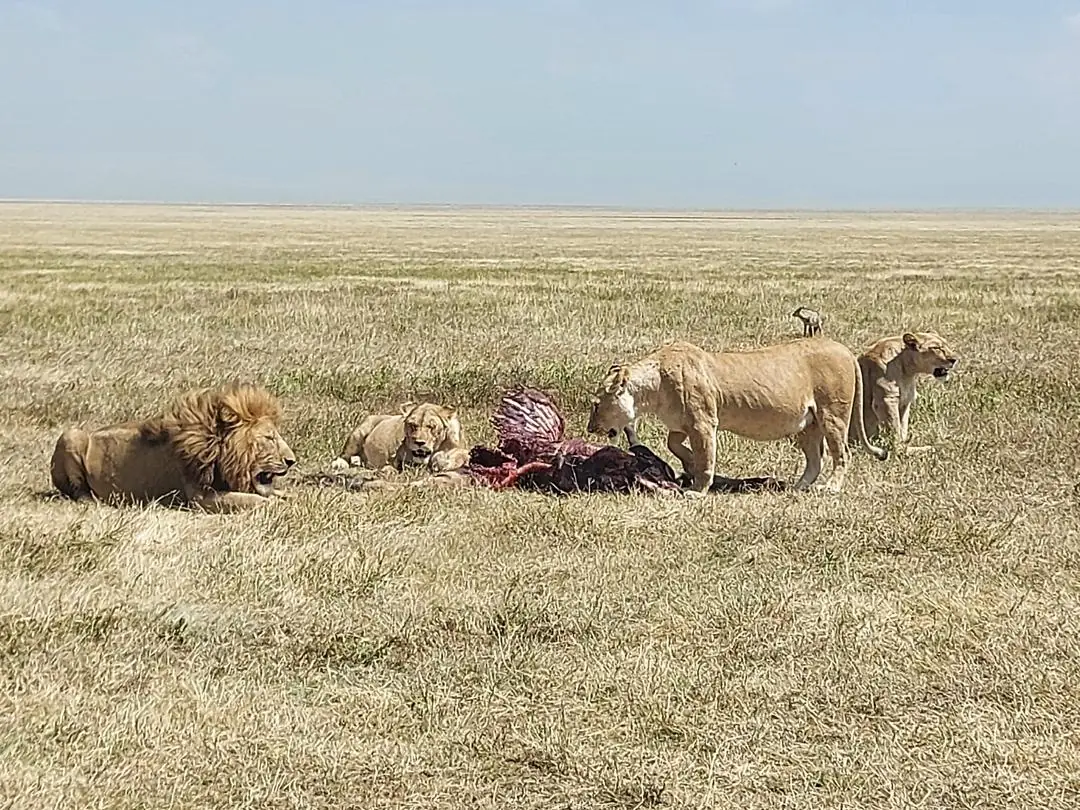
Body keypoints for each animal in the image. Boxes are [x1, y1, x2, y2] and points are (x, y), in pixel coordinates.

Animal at [50, 381, 296, 513]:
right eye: (269, 438)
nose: (292, 461)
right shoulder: (200, 497)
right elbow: (253, 500)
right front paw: (277, 505)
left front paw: (294, 498)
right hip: (71, 435)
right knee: (78, 492)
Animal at [330, 401, 468, 475]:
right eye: (413, 425)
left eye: (431, 427)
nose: (419, 442)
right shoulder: (396, 457)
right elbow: (393, 464)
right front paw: (388, 469)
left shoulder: (461, 449)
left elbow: (457, 455)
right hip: (359, 432)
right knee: (344, 455)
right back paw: (340, 464)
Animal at [586, 338, 888, 495]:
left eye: (595, 405)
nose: (589, 429)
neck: (651, 389)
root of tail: (843, 348)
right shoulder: (682, 424)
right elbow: (673, 444)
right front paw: (689, 462)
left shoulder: (703, 422)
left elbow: (706, 455)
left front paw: (698, 488)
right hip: (807, 424)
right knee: (815, 459)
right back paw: (797, 487)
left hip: (833, 414)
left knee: (842, 454)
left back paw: (831, 488)